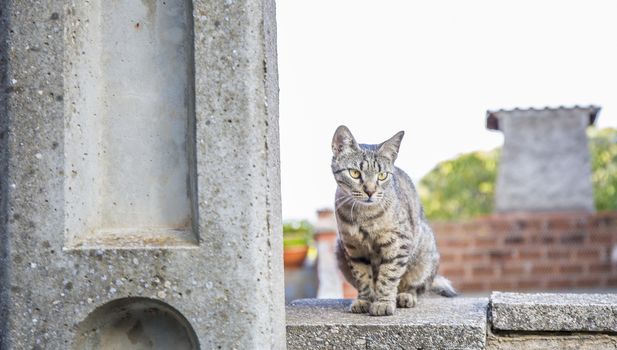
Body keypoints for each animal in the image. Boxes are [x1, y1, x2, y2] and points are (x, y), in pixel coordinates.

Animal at [330, 126, 454, 318]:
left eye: (382, 175)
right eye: (355, 173)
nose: (370, 191)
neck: (364, 216)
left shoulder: (398, 243)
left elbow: (389, 275)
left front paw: (382, 302)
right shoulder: (353, 248)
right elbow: (363, 277)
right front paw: (365, 300)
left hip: (424, 253)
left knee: (417, 287)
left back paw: (405, 296)